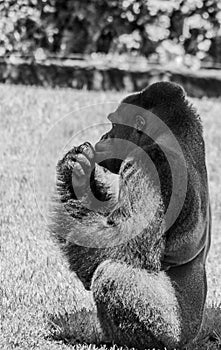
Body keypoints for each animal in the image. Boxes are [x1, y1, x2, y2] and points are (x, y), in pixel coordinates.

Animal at [50, 82, 211, 350]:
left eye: (113, 124)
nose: (104, 137)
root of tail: (192, 336)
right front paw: (83, 182)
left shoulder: (152, 165)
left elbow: (126, 246)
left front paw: (75, 181)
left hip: (171, 331)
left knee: (111, 274)